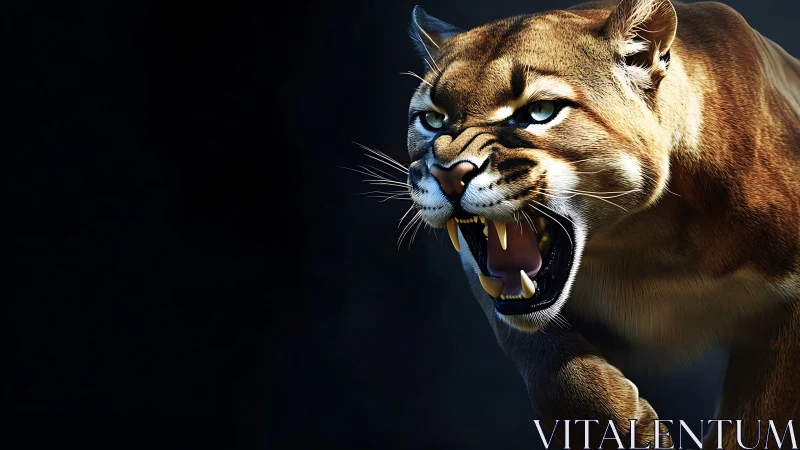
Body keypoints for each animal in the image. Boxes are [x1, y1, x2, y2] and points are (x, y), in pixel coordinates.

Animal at [403, 0, 800, 448]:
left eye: (539, 112)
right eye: (433, 119)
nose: (449, 173)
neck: (641, 245)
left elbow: (759, 418)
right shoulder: (484, 277)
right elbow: (546, 360)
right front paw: (631, 431)